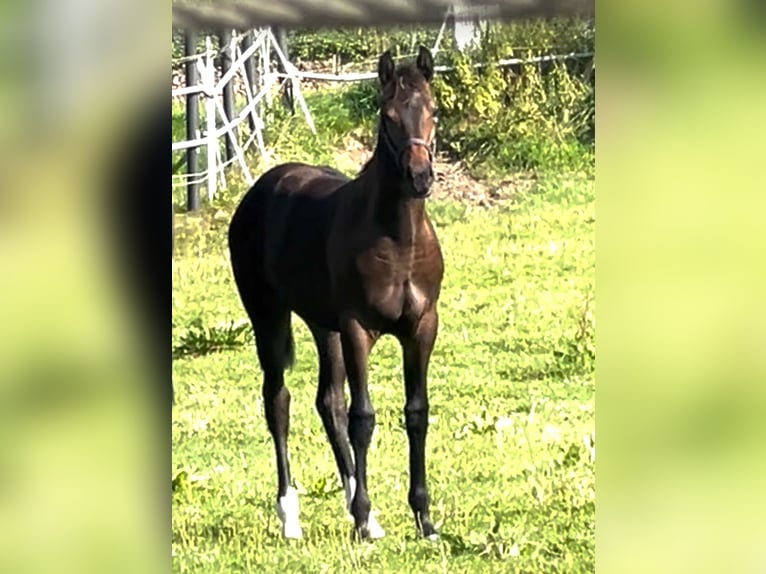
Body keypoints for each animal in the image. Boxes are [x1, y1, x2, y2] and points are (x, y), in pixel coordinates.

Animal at [228, 47, 444, 544]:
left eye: (433, 111)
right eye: (388, 116)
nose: (420, 176)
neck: (399, 241)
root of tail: (262, 186)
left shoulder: (422, 327)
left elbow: (416, 413)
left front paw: (422, 518)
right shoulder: (358, 328)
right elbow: (364, 417)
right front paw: (362, 518)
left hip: (323, 327)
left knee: (329, 403)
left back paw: (359, 508)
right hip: (269, 316)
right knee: (278, 401)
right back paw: (291, 515)